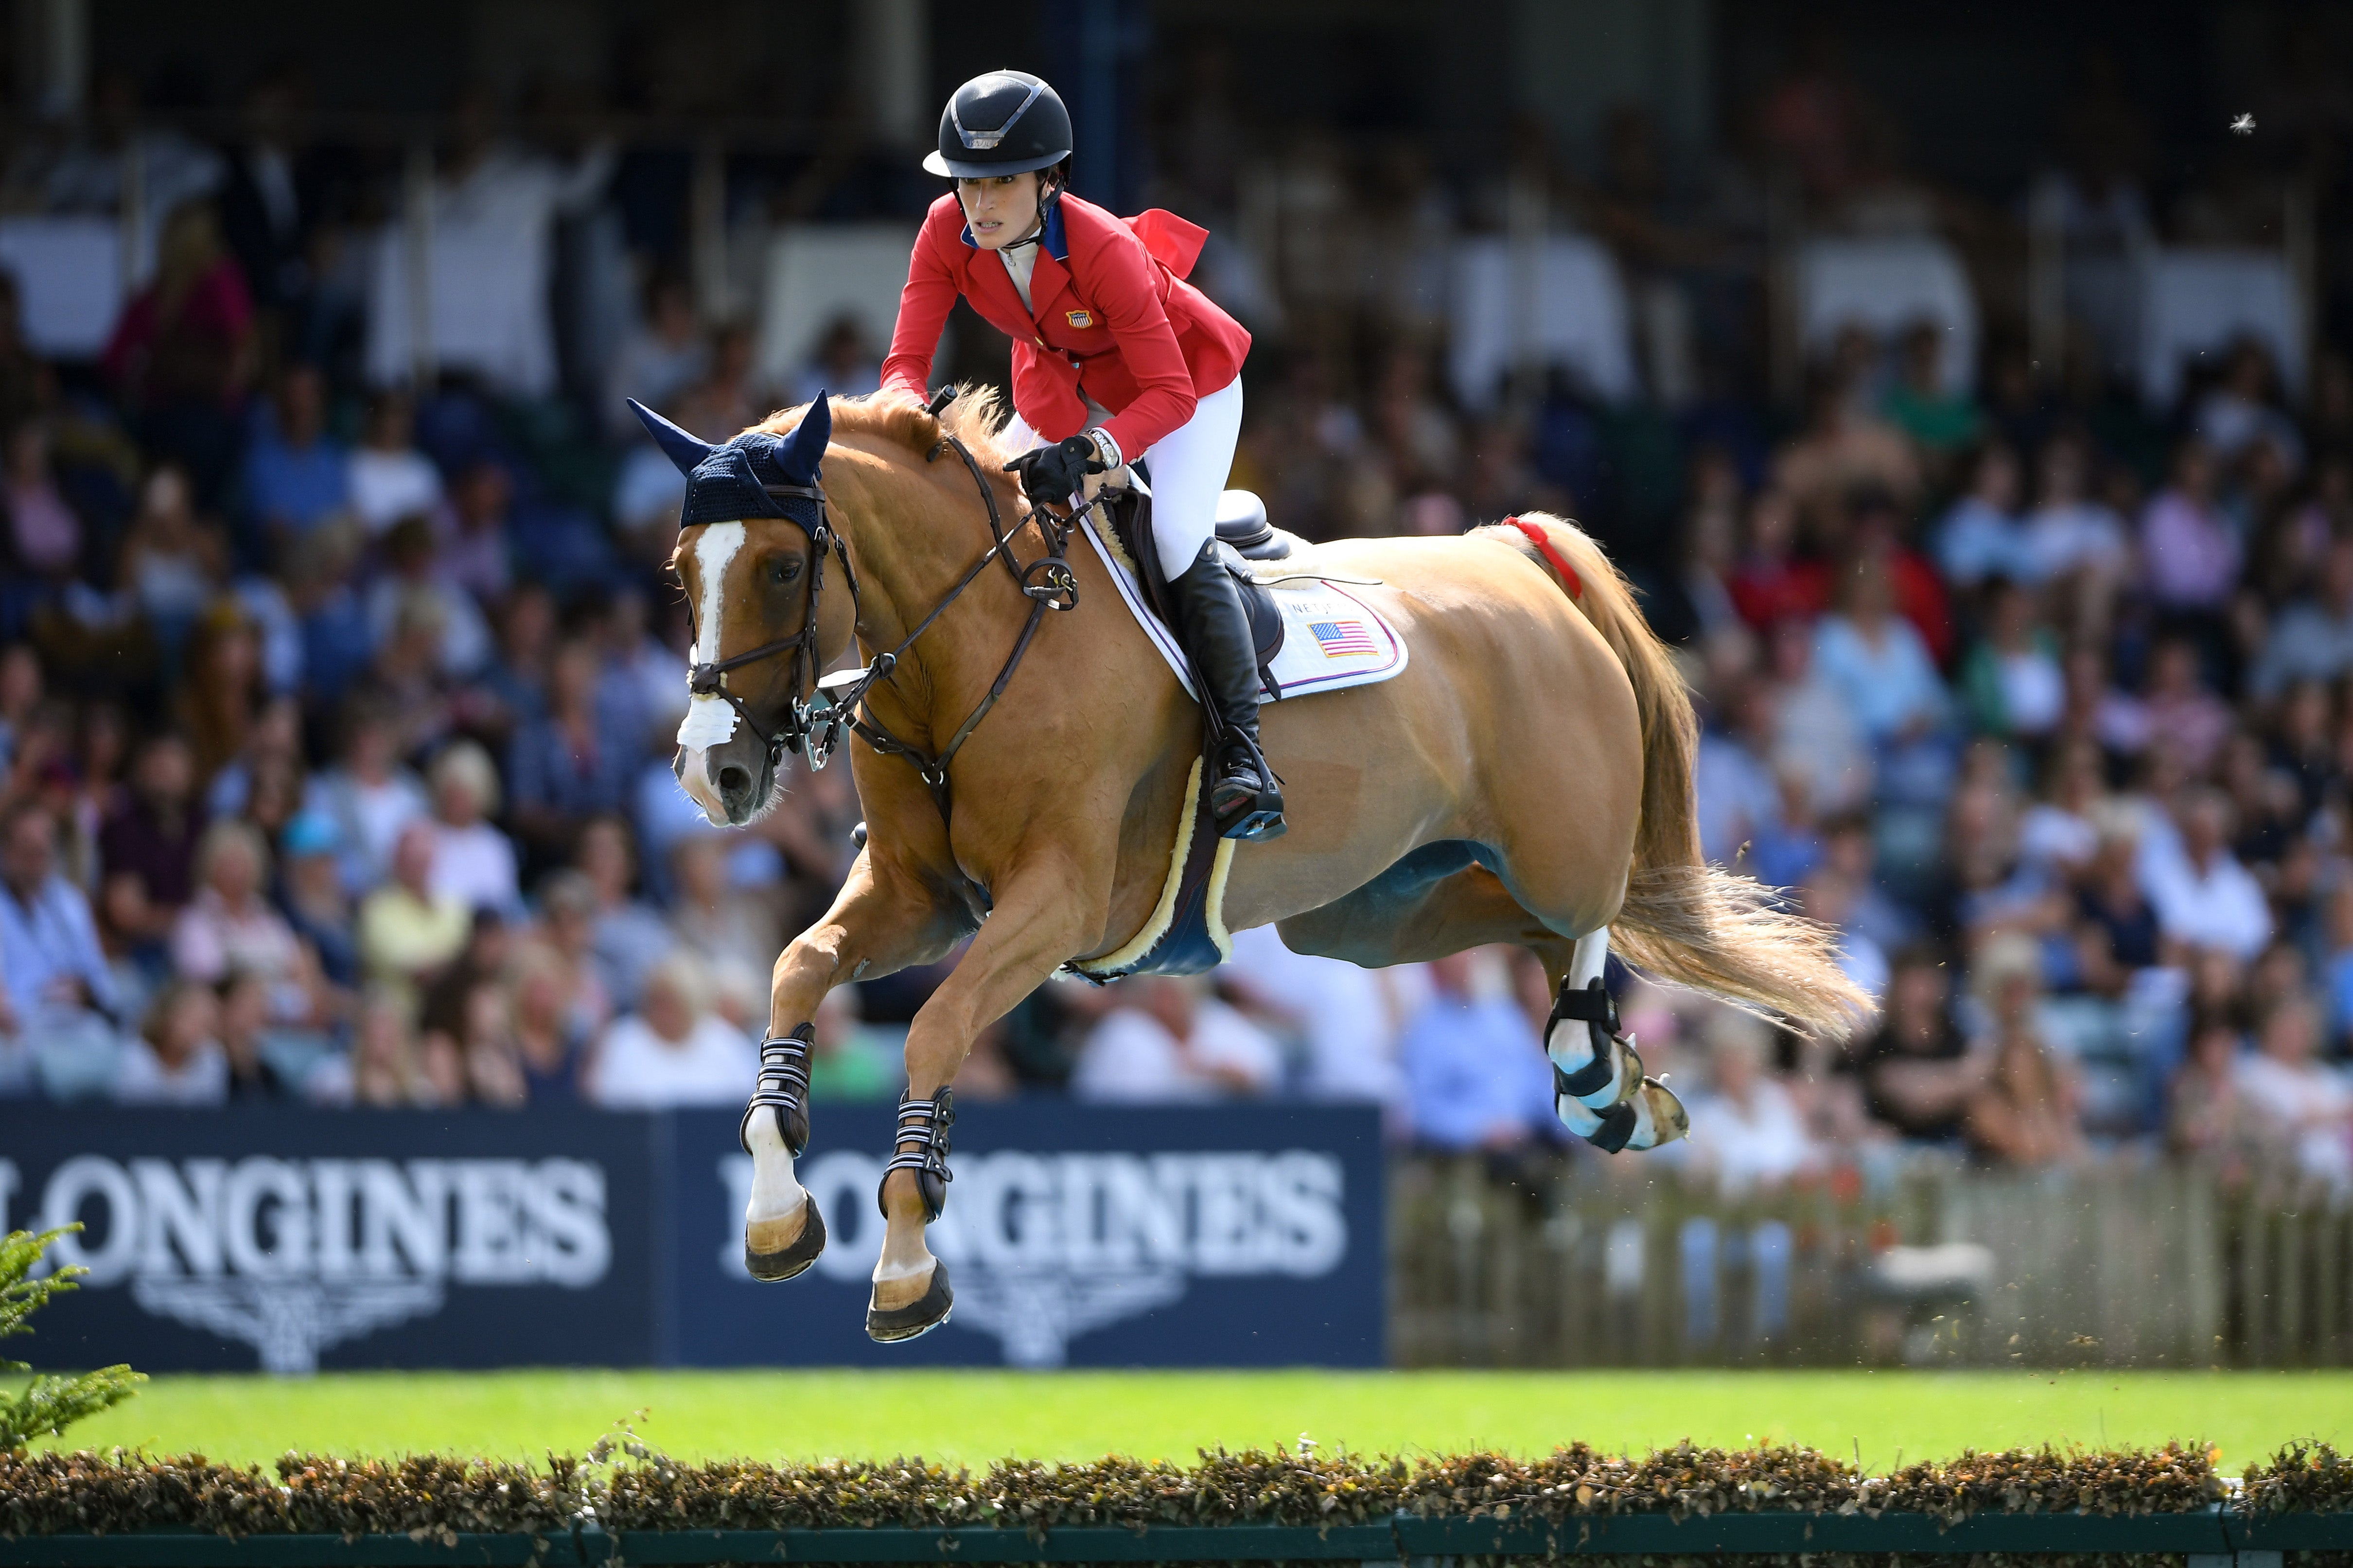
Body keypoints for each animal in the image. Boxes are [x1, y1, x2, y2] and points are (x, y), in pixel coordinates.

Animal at [668, 390, 1873, 1335]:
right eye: (682, 574)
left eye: (783, 565)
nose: (712, 769)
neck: (967, 651)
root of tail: (1507, 553)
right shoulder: (916, 898)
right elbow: (797, 967)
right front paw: (774, 1211)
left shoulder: (1056, 903)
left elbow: (934, 1025)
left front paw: (908, 1260)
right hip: (1369, 914)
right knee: (1527, 932)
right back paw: (1608, 1086)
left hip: (1552, 842)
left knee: (1590, 910)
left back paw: (1591, 1070)